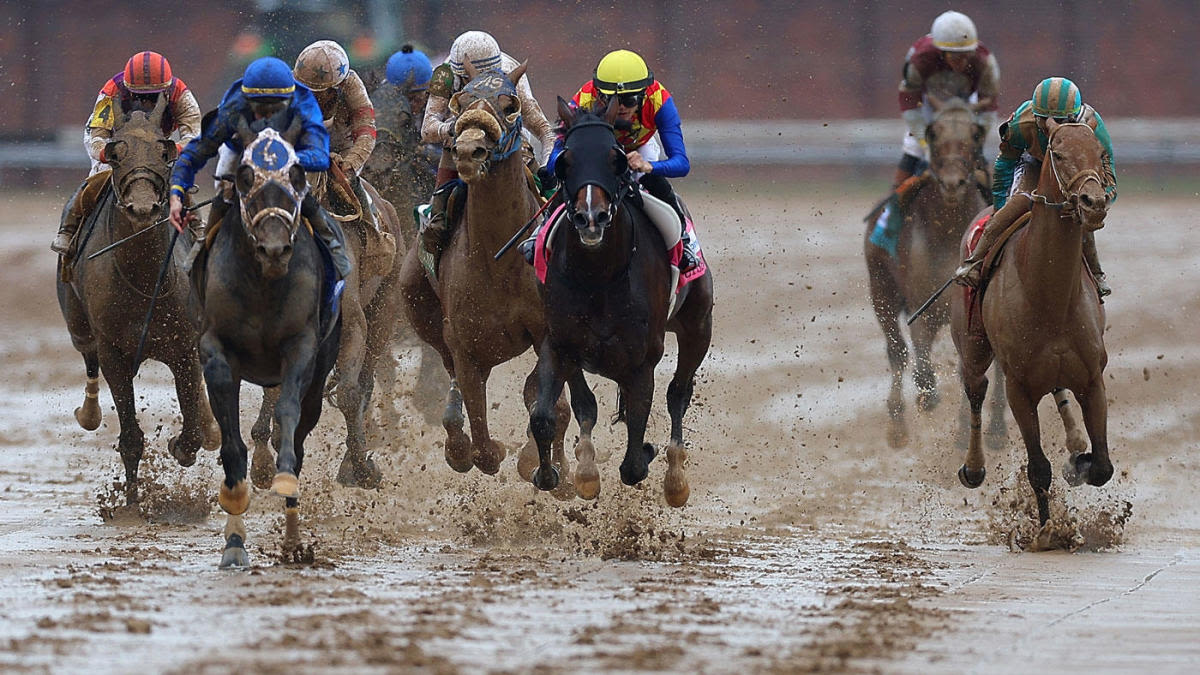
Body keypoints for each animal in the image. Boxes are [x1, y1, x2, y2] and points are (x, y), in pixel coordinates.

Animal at [199, 119, 343, 562]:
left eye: (296, 176)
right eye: (245, 178)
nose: (275, 249)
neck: (262, 283)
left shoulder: (302, 347)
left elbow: (288, 418)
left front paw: (282, 479)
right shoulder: (216, 348)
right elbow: (231, 444)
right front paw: (233, 539)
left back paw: (294, 540)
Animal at [398, 61, 571, 473]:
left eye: (509, 105)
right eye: (459, 103)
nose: (468, 150)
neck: (498, 258)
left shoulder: (547, 335)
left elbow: (548, 402)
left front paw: (549, 468)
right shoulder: (465, 345)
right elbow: (481, 440)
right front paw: (474, 451)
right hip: (418, 303)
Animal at [525, 97, 710, 502]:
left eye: (617, 160)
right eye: (565, 161)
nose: (590, 217)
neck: (598, 277)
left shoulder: (642, 359)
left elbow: (634, 462)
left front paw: (647, 451)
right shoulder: (559, 343)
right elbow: (552, 414)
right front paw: (557, 473)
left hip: (697, 325)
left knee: (678, 392)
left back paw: (675, 477)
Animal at [950, 121, 1108, 530]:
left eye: (1101, 152)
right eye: (1059, 152)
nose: (1094, 202)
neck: (1050, 298)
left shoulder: (1092, 378)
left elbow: (1102, 467)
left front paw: (1080, 461)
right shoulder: (1019, 387)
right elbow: (1038, 469)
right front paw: (1048, 532)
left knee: (1057, 390)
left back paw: (1075, 444)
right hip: (973, 346)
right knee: (976, 388)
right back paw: (973, 467)